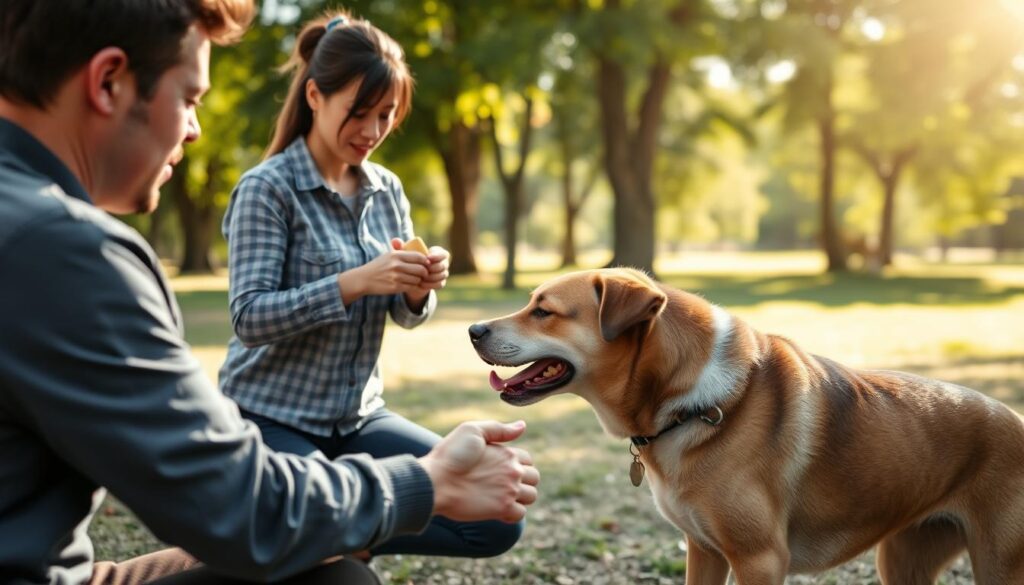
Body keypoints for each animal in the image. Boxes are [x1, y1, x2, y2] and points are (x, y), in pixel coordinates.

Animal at [466, 270, 1024, 585]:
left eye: (544, 311)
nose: (472, 329)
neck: (687, 406)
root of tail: (1015, 419)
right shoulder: (704, 551)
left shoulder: (760, 559)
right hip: (904, 560)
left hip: (998, 565)